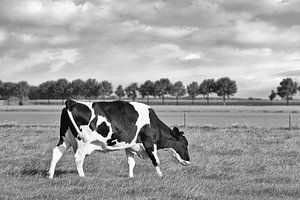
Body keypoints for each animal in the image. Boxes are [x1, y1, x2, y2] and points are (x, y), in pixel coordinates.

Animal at [48, 98, 191, 178]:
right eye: (185, 143)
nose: (188, 161)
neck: (152, 123)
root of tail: (72, 102)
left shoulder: (130, 145)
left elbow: (131, 163)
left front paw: (131, 177)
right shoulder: (149, 143)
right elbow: (156, 160)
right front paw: (161, 176)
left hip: (65, 138)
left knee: (56, 153)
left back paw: (50, 175)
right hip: (83, 141)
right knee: (78, 157)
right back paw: (82, 176)